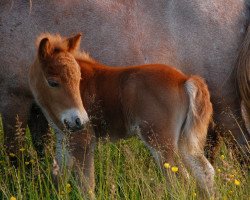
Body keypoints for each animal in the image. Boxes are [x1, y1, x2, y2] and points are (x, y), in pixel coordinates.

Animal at [28, 33, 214, 197]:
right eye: (53, 82)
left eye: (79, 79)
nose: (80, 120)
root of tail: (184, 80)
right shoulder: (64, 139)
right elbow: (58, 177)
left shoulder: (83, 141)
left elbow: (86, 186)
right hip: (183, 141)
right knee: (205, 172)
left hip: (160, 141)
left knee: (180, 180)